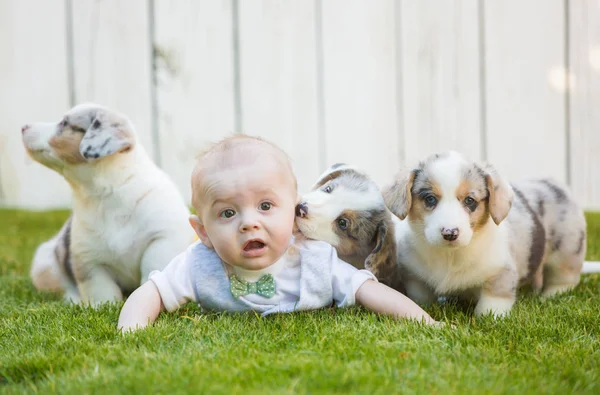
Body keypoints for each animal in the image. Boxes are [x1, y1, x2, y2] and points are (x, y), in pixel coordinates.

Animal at [21, 103, 193, 306]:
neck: (106, 194)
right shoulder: (89, 259)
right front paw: (102, 307)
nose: (23, 127)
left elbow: (151, 268)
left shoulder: (163, 238)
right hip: (44, 266)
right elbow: (102, 293)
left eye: (64, 123)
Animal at [384, 152, 592, 318]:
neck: (451, 256)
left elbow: (490, 305)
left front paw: (489, 319)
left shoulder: (500, 274)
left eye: (470, 201)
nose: (450, 233)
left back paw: (550, 296)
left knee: (564, 278)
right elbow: (421, 298)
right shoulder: (415, 278)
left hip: (567, 252)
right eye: (430, 199)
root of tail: (556, 184)